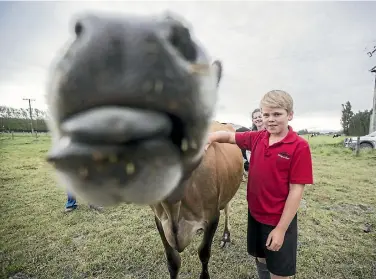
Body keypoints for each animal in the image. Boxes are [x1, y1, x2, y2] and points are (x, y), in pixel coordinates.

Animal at [151, 121, 244, 278]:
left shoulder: (212, 216)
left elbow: (204, 253)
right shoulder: (160, 220)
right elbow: (173, 261)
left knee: (227, 209)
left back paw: (226, 237)